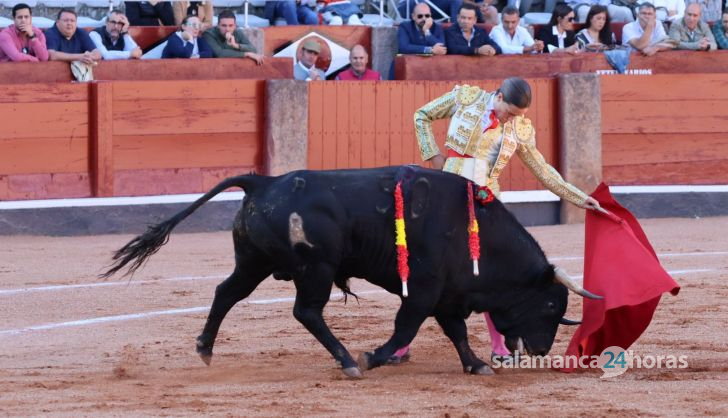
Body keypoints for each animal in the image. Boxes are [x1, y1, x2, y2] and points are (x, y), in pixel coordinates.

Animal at [104, 167, 604, 378]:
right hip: (315, 268)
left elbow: (457, 332)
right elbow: (406, 328)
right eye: (551, 304)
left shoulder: (446, 295)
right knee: (307, 312)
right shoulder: (424, 291)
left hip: (254, 262)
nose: (540, 350)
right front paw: (372, 357)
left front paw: (476, 364)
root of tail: (262, 182)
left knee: (226, 293)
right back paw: (347, 361)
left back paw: (205, 349)